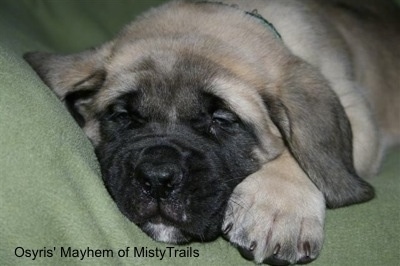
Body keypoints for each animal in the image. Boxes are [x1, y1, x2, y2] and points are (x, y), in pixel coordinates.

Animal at [24, 1, 400, 264]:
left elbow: (302, 151)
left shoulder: (356, 109)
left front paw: (278, 206)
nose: (157, 179)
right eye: (123, 115)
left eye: (221, 119)